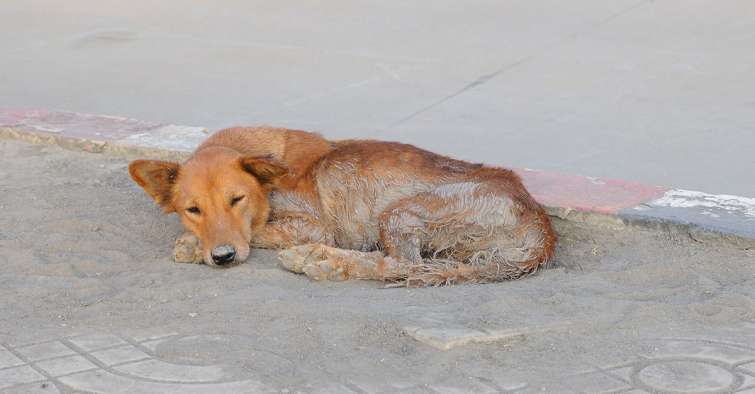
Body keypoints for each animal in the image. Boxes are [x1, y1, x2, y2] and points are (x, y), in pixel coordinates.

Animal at [128, 127, 556, 284]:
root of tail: (542, 227)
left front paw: (192, 246)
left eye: (237, 199)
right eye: (193, 210)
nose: (222, 257)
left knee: (402, 264)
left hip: (404, 211)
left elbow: (261, 230)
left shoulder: (314, 224)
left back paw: (322, 261)